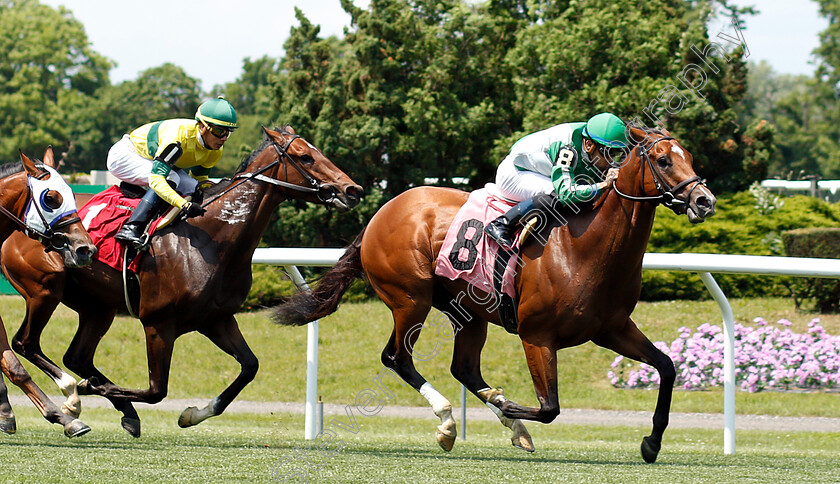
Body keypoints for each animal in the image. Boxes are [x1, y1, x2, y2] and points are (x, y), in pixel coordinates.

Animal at [274, 126, 716, 464]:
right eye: (663, 160)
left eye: (691, 156)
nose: (704, 200)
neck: (585, 246)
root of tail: (382, 211)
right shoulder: (537, 335)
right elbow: (550, 407)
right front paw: (506, 405)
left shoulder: (612, 329)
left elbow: (667, 367)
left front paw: (651, 443)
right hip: (410, 299)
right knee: (397, 357)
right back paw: (449, 422)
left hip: (466, 311)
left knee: (464, 369)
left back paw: (506, 425)